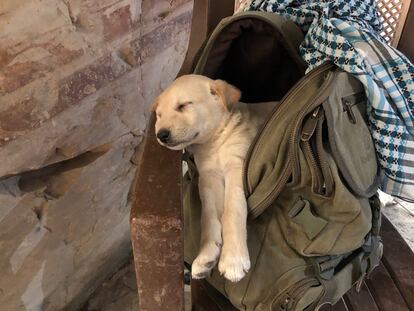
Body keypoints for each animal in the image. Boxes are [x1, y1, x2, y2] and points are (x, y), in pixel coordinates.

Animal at [152, 75, 274, 282]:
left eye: (183, 105)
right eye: (159, 115)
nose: (161, 135)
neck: (213, 142)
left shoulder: (236, 167)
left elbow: (232, 211)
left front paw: (233, 259)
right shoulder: (209, 178)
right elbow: (208, 216)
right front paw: (206, 255)